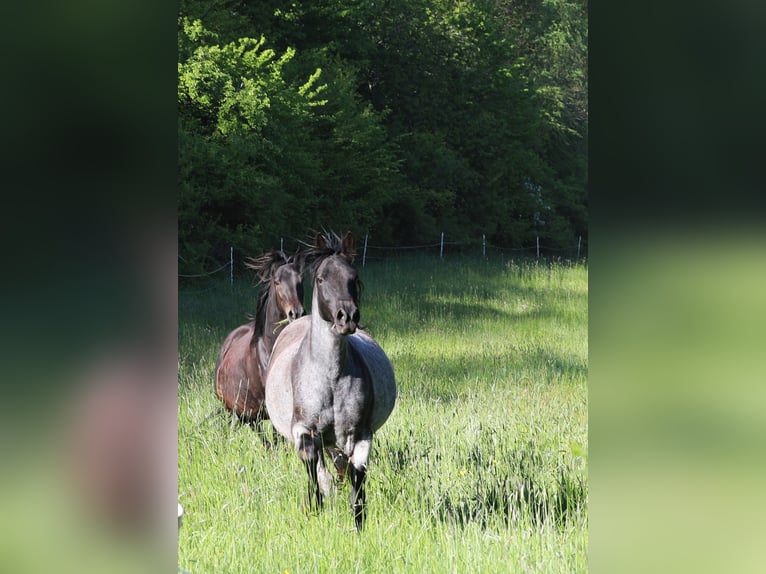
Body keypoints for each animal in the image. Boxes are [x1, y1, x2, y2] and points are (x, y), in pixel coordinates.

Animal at [264, 231, 396, 531]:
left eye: (353, 277)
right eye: (322, 278)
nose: (346, 317)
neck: (331, 379)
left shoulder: (360, 436)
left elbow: (357, 477)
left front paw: (359, 525)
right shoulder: (303, 431)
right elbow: (314, 468)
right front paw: (315, 507)